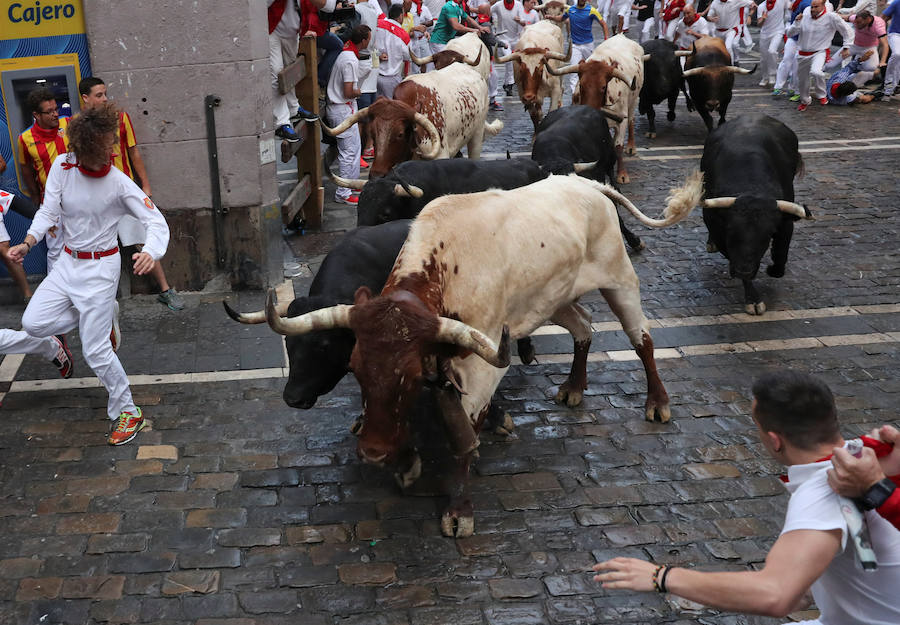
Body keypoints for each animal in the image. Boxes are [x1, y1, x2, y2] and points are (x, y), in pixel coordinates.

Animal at [264, 172, 708, 536]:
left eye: (409, 372)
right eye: (354, 367)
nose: (373, 451)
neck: (445, 267)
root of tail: (587, 184)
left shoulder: (480, 365)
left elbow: (463, 434)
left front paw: (459, 510)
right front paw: (406, 461)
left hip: (620, 280)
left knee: (642, 340)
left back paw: (657, 402)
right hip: (554, 298)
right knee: (583, 327)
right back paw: (574, 386)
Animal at [544, 33, 644, 183]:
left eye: (603, 87)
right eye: (581, 85)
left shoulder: (622, 120)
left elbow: (618, 146)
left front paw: (622, 174)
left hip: (633, 101)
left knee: (632, 120)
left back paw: (631, 146)